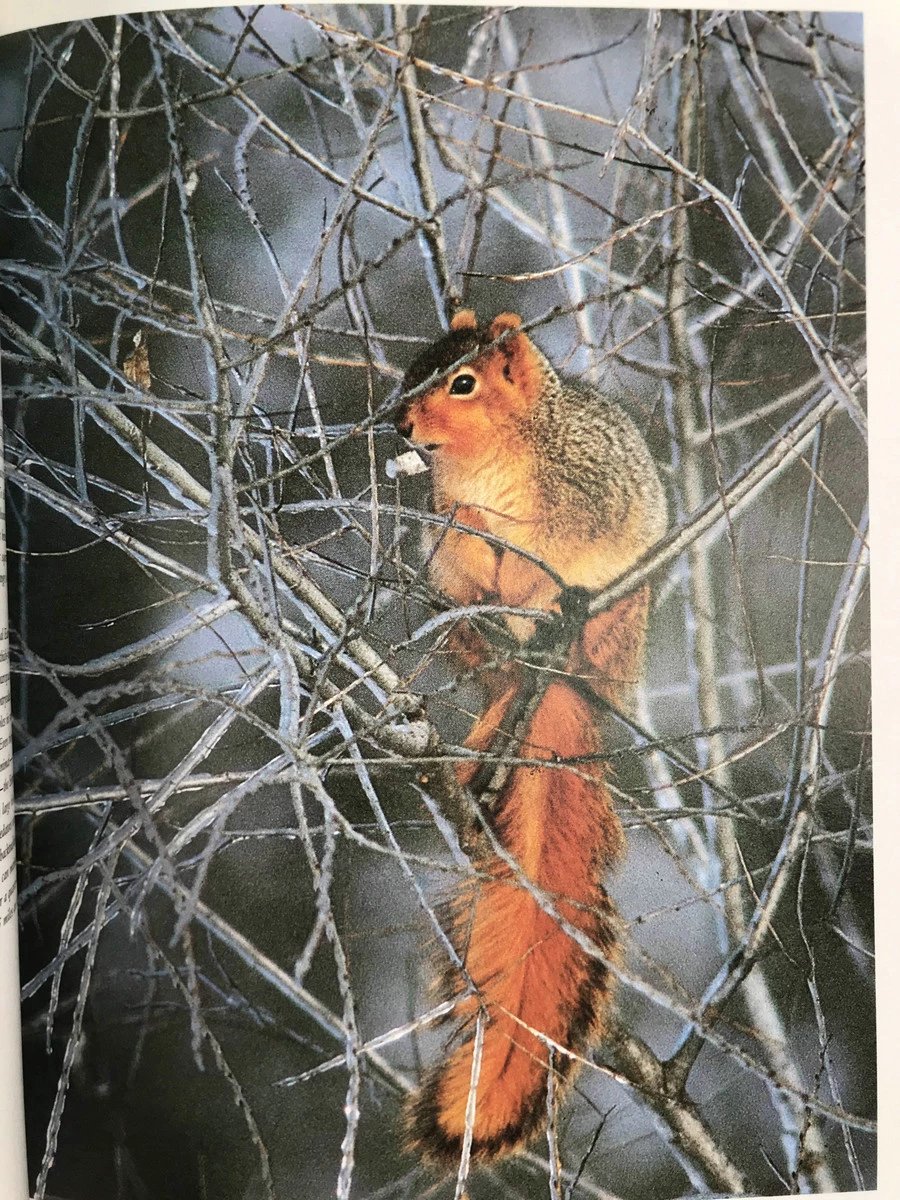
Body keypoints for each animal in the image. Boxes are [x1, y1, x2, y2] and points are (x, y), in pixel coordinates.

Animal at [394, 310, 667, 1165]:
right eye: (413, 367)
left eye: (463, 382)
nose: (398, 425)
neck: (491, 459)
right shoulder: (446, 532)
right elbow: (463, 541)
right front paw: (477, 530)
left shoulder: (583, 497)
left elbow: (555, 548)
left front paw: (545, 586)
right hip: (471, 641)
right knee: (498, 666)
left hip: (621, 620)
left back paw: (562, 631)